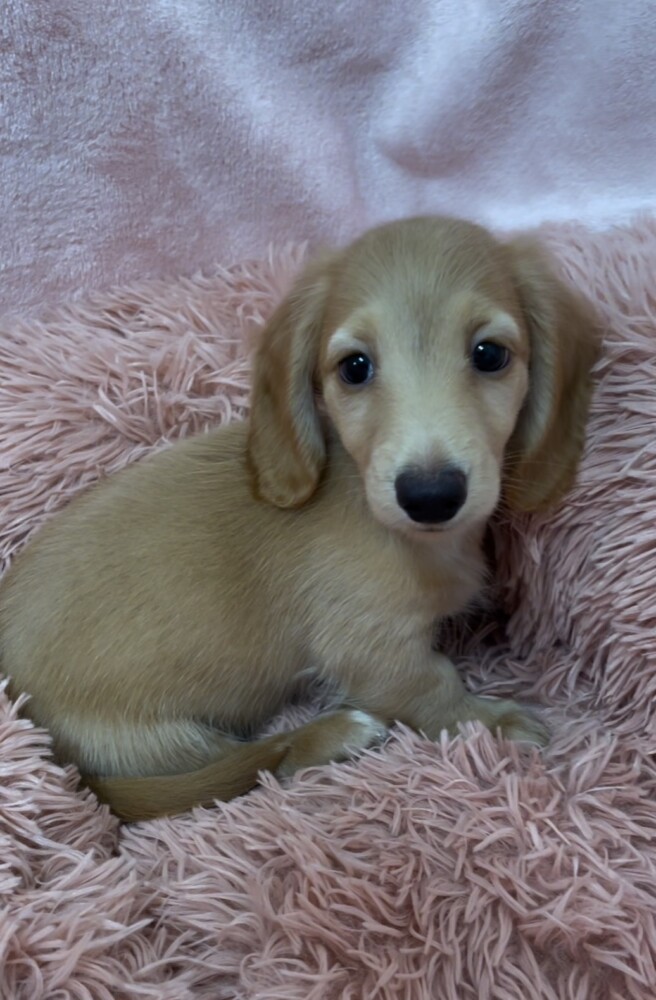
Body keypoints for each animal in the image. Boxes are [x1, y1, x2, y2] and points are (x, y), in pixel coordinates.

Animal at [0, 216, 598, 822]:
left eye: (490, 354)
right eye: (355, 367)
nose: (430, 496)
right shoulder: (372, 648)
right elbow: (434, 686)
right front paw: (493, 720)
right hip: (163, 742)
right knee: (261, 759)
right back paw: (333, 734)